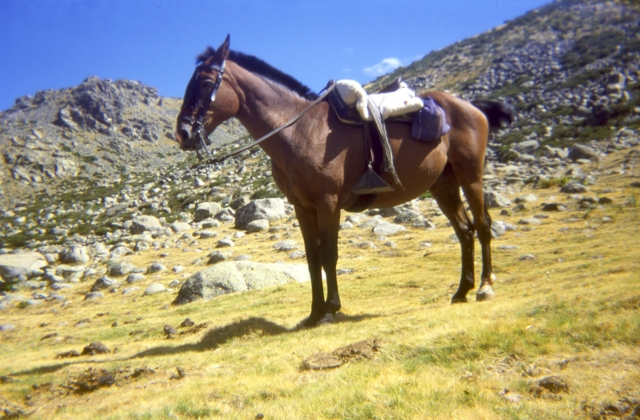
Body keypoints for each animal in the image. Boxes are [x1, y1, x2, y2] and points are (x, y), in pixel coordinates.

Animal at [175, 35, 515, 326]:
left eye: (205, 82)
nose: (183, 133)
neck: (298, 130)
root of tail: (471, 106)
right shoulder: (302, 207)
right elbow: (312, 257)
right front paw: (314, 312)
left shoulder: (328, 203)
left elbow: (329, 254)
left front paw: (331, 309)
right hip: (443, 185)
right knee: (464, 231)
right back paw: (461, 291)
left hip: (470, 176)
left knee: (482, 225)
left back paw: (485, 287)